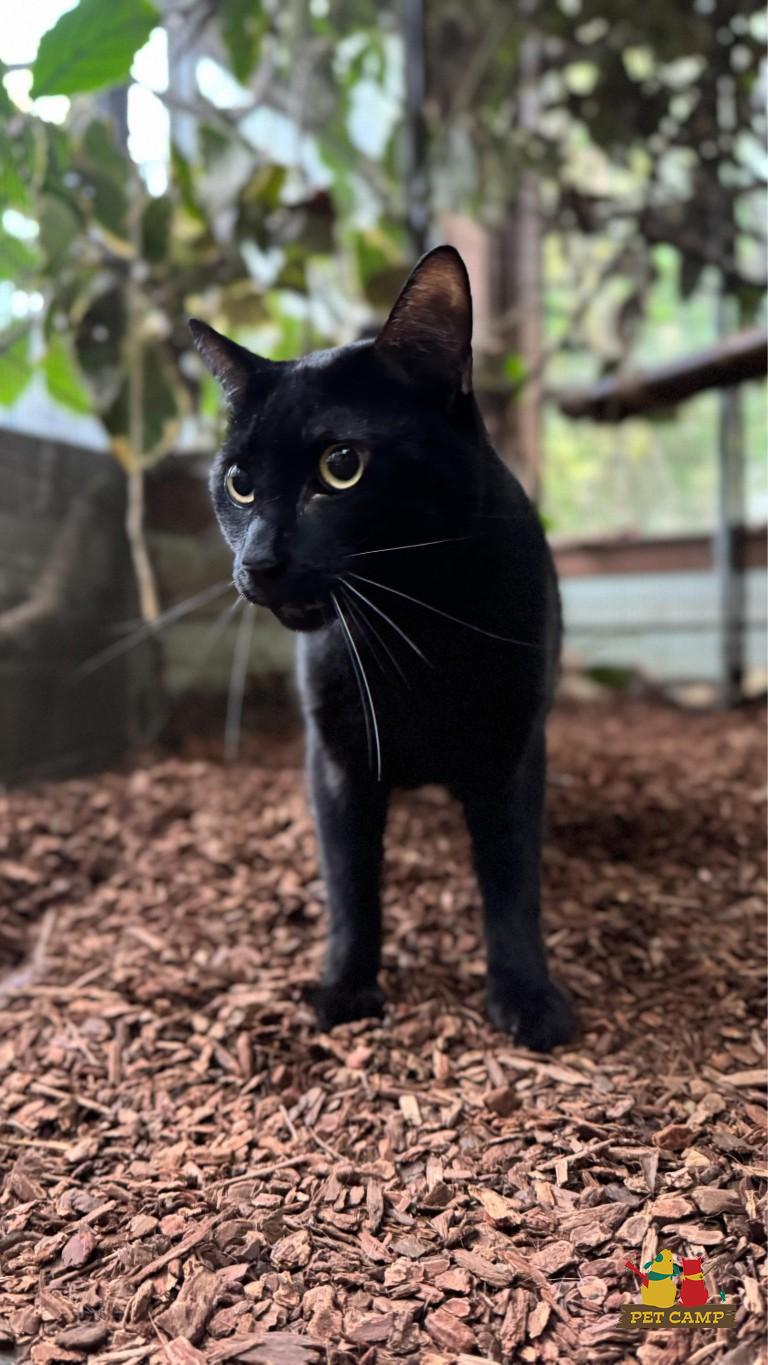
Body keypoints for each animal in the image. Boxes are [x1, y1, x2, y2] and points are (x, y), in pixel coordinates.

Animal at [190, 245, 575, 1051]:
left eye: (342, 466)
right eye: (238, 482)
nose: (260, 561)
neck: (413, 634)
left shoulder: (510, 754)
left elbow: (512, 884)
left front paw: (528, 999)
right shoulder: (336, 763)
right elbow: (350, 883)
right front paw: (345, 988)